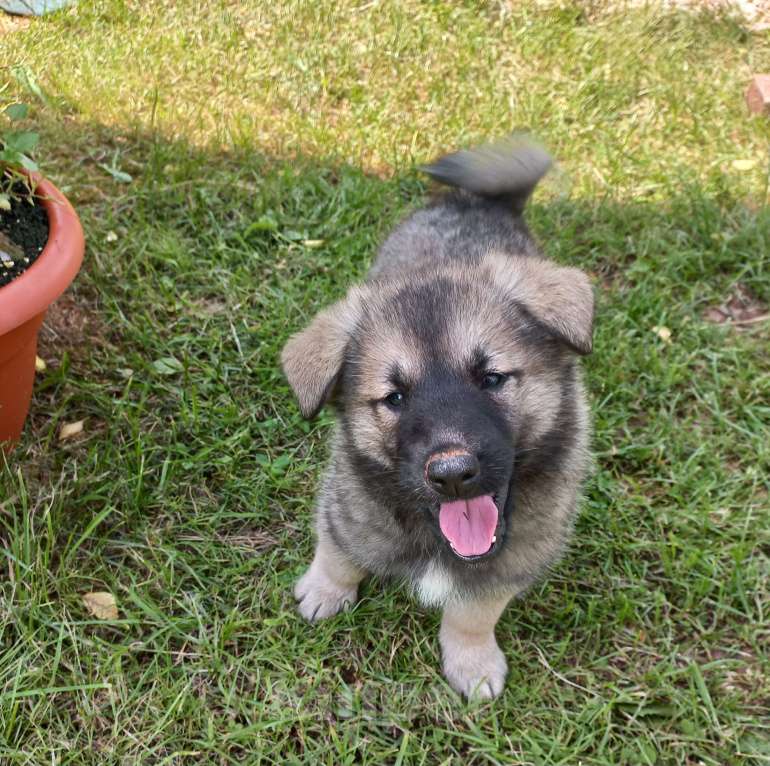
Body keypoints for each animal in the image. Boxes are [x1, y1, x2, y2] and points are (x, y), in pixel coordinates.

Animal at [280, 138, 592, 704]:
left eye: (492, 378)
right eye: (395, 398)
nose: (451, 474)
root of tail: (480, 202)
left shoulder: (510, 560)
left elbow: (473, 614)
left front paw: (472, 663)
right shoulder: (349, 507)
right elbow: (337, 553)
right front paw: (323, 592)